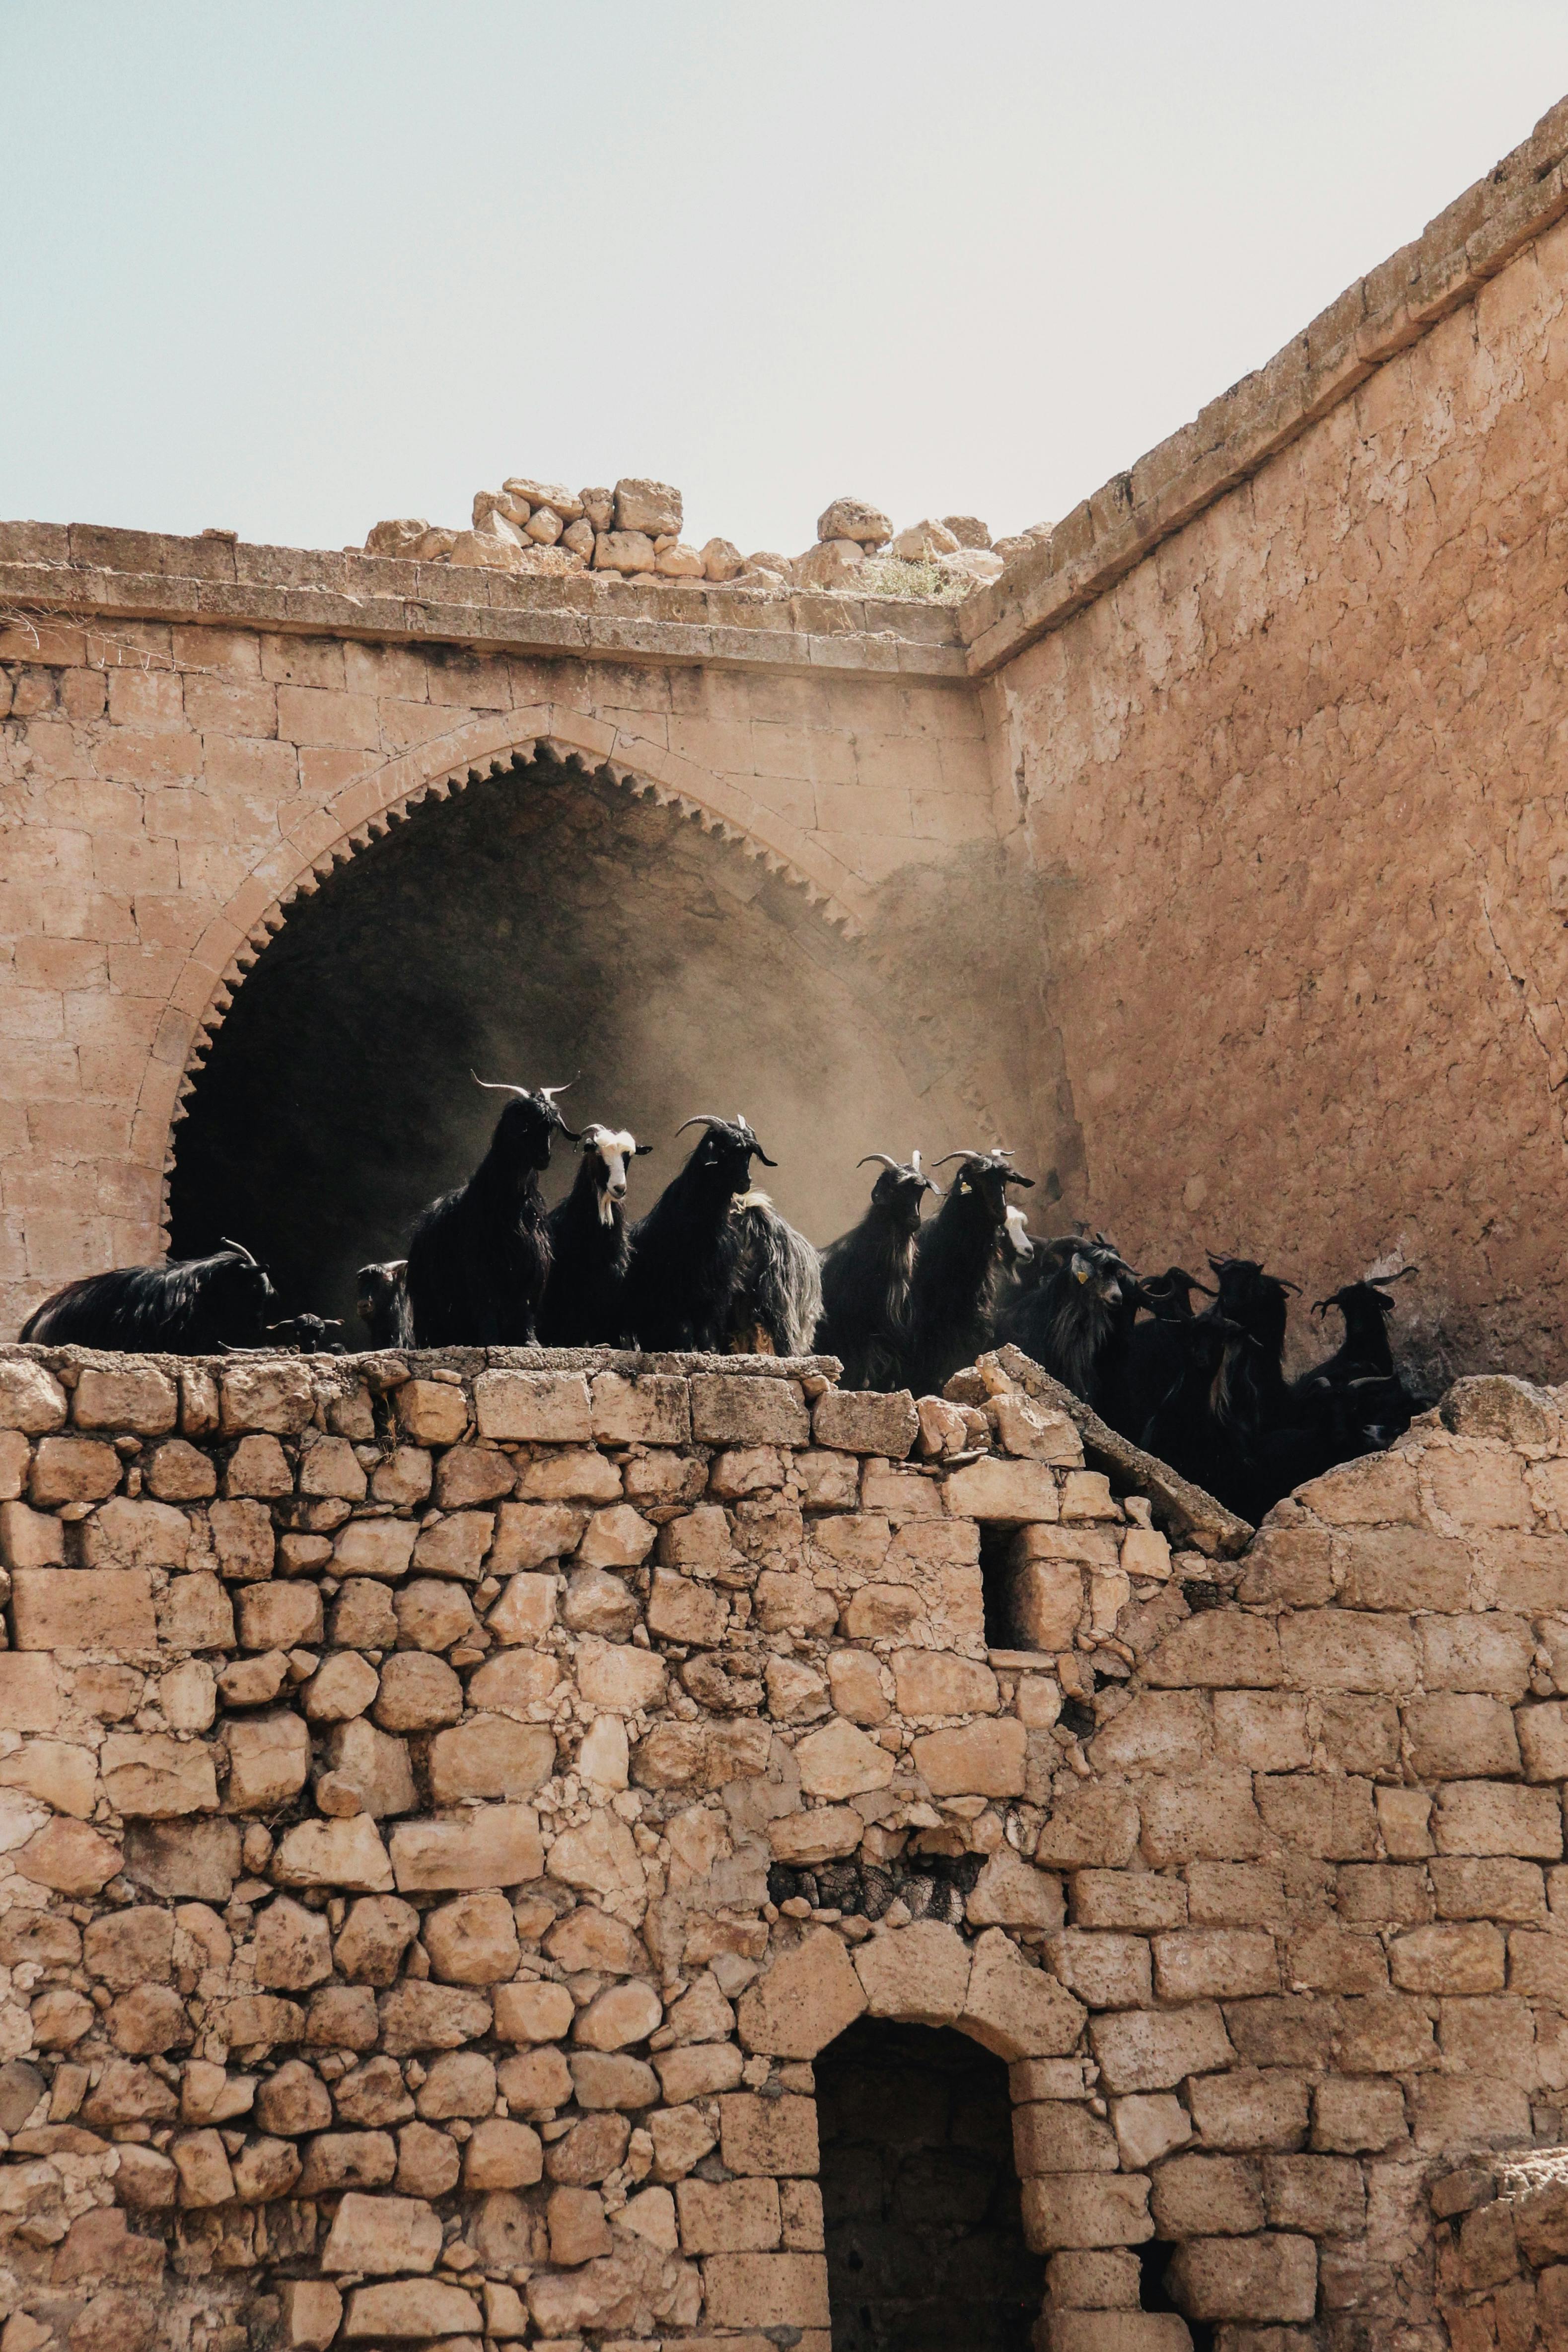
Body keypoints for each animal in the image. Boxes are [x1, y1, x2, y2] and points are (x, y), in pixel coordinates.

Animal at [404, 1077, 577, 1347]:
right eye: (525, 1122)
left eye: (550, 1128)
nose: (544, 1157)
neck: (509, 1208)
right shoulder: (481, 1265)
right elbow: (486, 1305)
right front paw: (490, 1341)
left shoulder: (529, 1264)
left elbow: (524, 1308)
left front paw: (531, 1342)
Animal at [619, 1114, 777, 1351]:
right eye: (724, 1150)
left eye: (750, 1153)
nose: (745, 1182)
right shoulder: (679, 1287)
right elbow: (684, 1326)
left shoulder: (714, 1287)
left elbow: (706, 1327)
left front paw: (708, 1350)